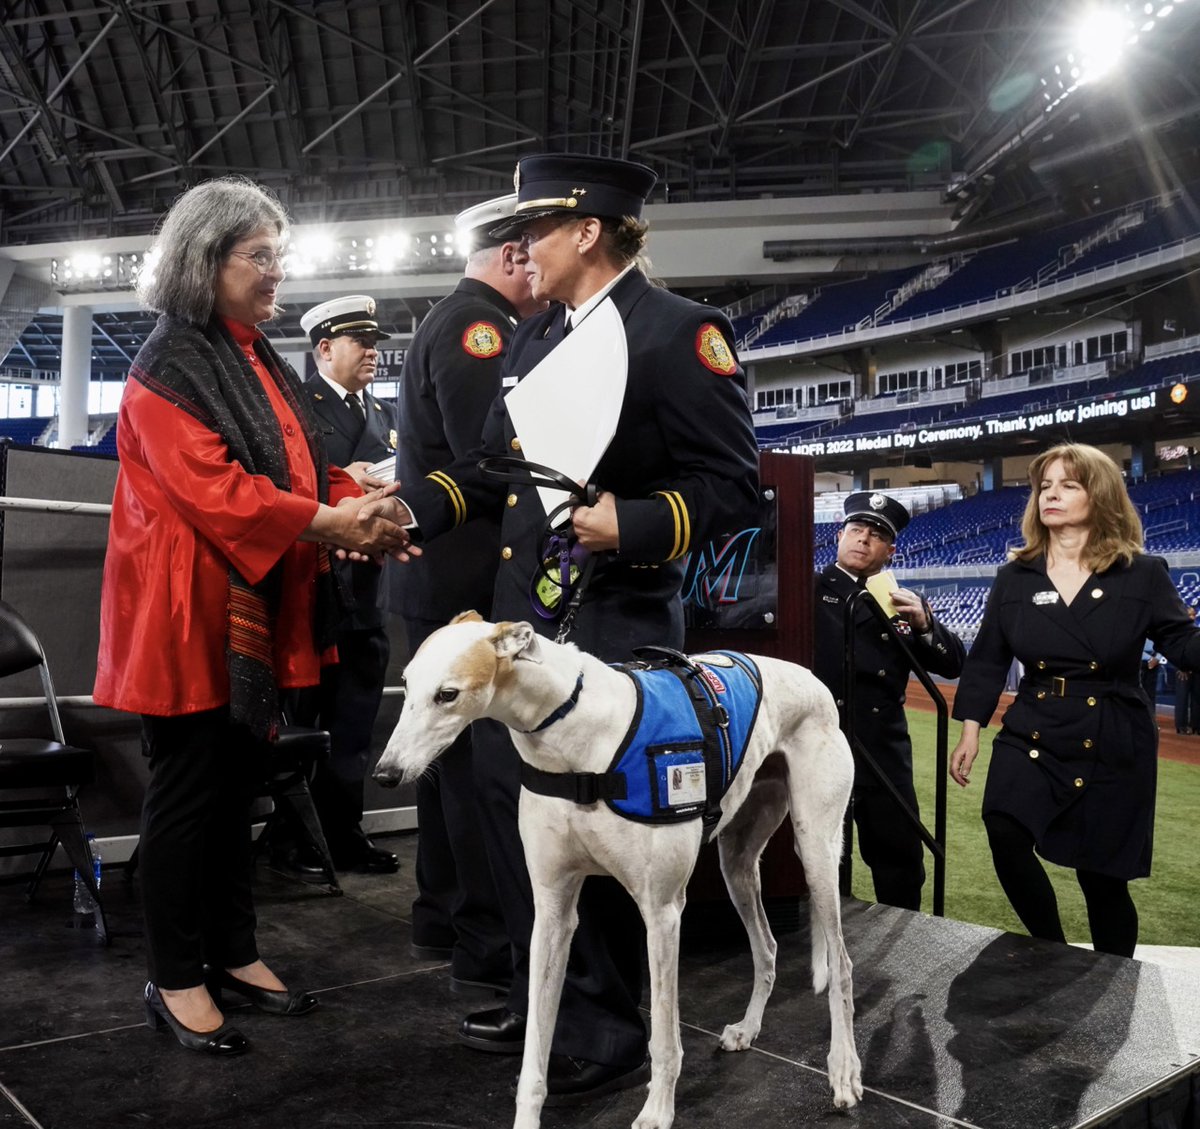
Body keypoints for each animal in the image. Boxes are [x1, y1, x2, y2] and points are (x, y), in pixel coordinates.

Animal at [374, 611, 864, 1127]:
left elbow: (665, 1036)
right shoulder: (552, 910)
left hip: (817, 849)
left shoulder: (662, 912)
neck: (574, 738)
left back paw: (844, 1070)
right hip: (737, 860)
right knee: (767, 947)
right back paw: (748, 1028)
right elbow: (535, 1052)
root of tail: (810, 677)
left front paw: (657, 1110)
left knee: (842, 965)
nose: (386, 774)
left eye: (447, 694)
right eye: (404, 684)